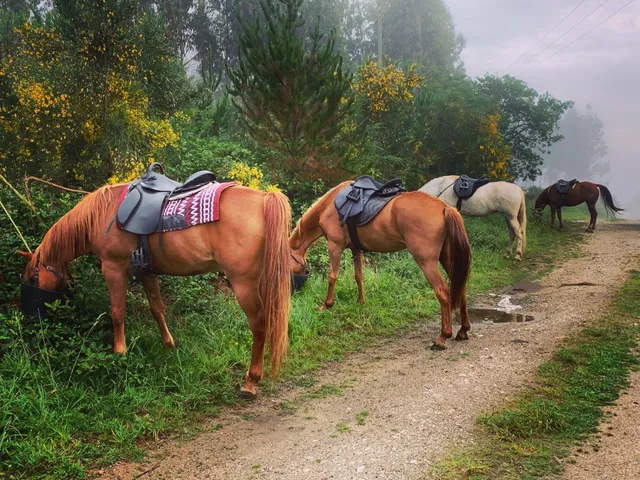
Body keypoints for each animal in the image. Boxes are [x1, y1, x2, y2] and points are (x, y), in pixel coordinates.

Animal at [19, 183, 292, 398]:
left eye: (32, 278)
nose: (32, 318)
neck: (102, 214)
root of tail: (264, 199)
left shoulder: (113, 267)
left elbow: (117, 312)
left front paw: (120, 353)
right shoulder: (146, 272)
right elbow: (157, 308)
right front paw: (169, 344)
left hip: (243, 283)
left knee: (259, 325)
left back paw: (250, 381)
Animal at [289, 182, 472, 349]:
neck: (330, 206)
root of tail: (445, 208)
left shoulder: (335, 246)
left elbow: (332, 276)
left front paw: (327, 305)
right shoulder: (356, 250)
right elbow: (359, 276)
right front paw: (361, 302)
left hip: (427, 262)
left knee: (443, 291)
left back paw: (442, 337)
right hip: (448, 258)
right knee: (460, 287)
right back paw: (463, 330)